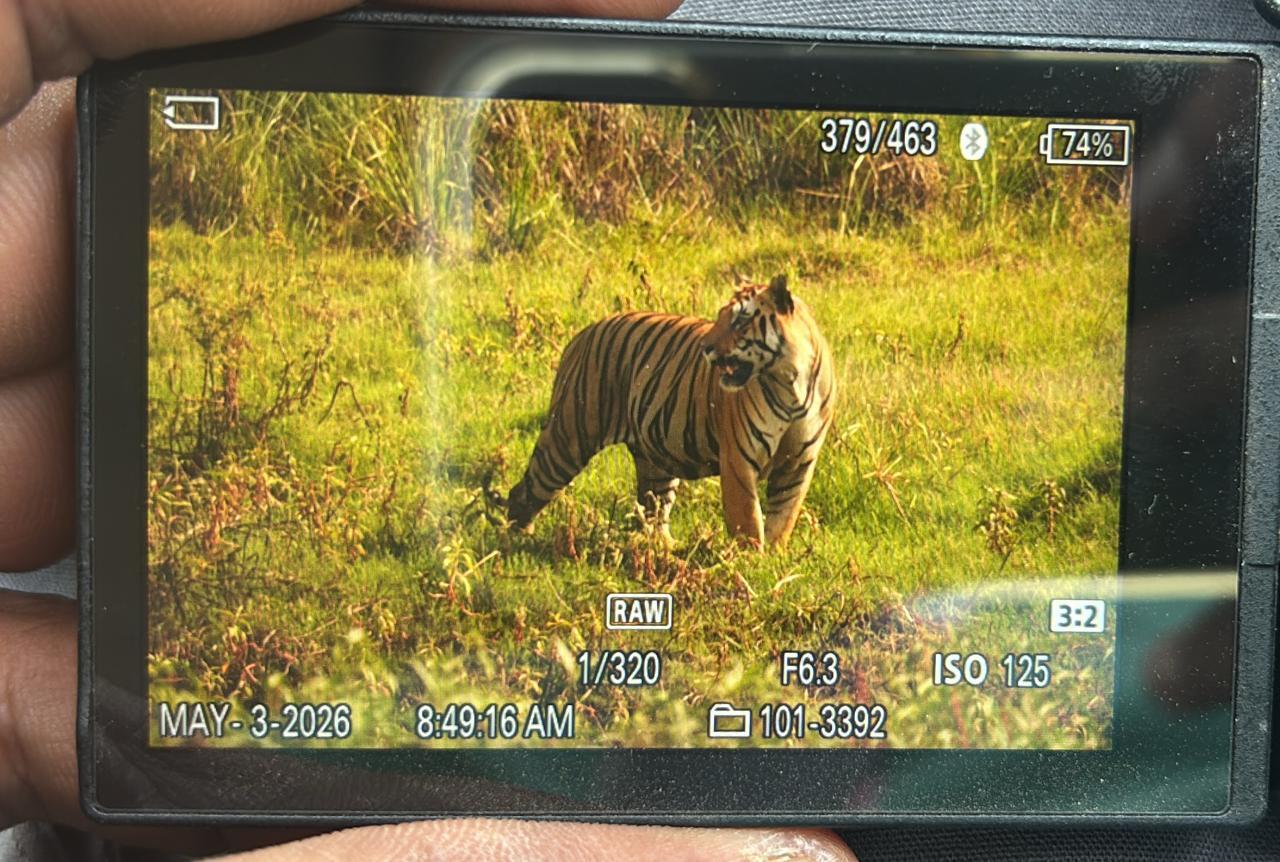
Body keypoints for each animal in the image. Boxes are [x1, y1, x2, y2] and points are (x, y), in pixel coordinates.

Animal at [506, 274, 836, 548]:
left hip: (656, 458)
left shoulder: (799, 463)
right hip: (568, 440)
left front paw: (774, 559)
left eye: (740, 321)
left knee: (654, 509)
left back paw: (667, 549)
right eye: (720, 318)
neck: (788, 382)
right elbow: (748, 522)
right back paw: (517, 539)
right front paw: (749, 563)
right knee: (525, 491)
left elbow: (783, 517)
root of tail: (583, 333)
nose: (705, 347)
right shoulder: (739, 459)